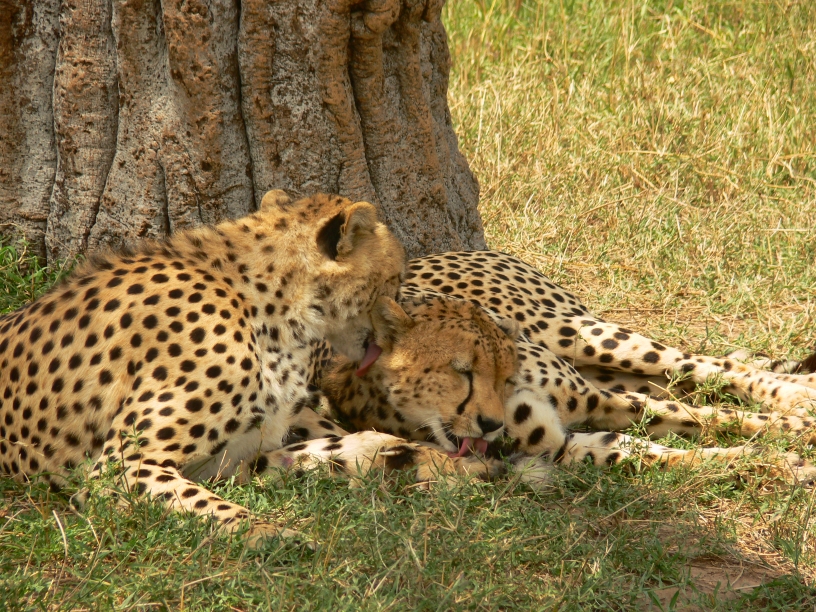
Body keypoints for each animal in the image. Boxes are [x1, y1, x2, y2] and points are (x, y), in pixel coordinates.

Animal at [0, 193, 514, 547]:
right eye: (397, 276)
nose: (400, 309)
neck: (272, 306)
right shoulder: (121, 467)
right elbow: (209, 503)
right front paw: (275, 534)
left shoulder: (227, 456)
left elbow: (316, 449)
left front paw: (438, 461)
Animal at [314, 250, 816, 484]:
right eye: (460, 370)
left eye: (502, 371)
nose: (489, 423)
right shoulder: (560, 446)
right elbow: (655, 448)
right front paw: (777, 464)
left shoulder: (598, 399)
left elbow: (713, 415)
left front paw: (796, 430)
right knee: (678, 381)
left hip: (579, 333)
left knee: (702, 365)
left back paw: (799, 391)